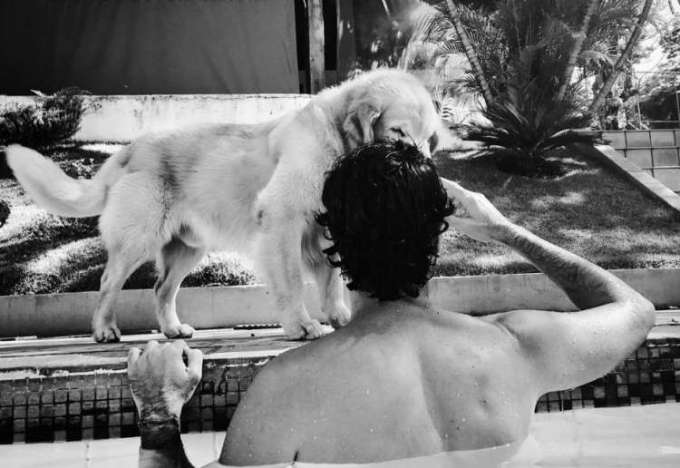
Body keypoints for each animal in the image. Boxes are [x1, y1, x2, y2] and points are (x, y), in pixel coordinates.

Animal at [7, 69, 442, 342]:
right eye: (398, 132)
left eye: (428, 138)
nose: (424, 168)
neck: (336, 141)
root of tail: (129, 148)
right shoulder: (281, 221)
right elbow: (291, 282)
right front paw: (301, 326)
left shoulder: (327, 228)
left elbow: (332, 279)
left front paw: (338, 317)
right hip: (138, 241)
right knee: (108, 282)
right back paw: (103, 329)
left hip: (187, 249)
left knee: (161, 289)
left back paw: (172, 329)